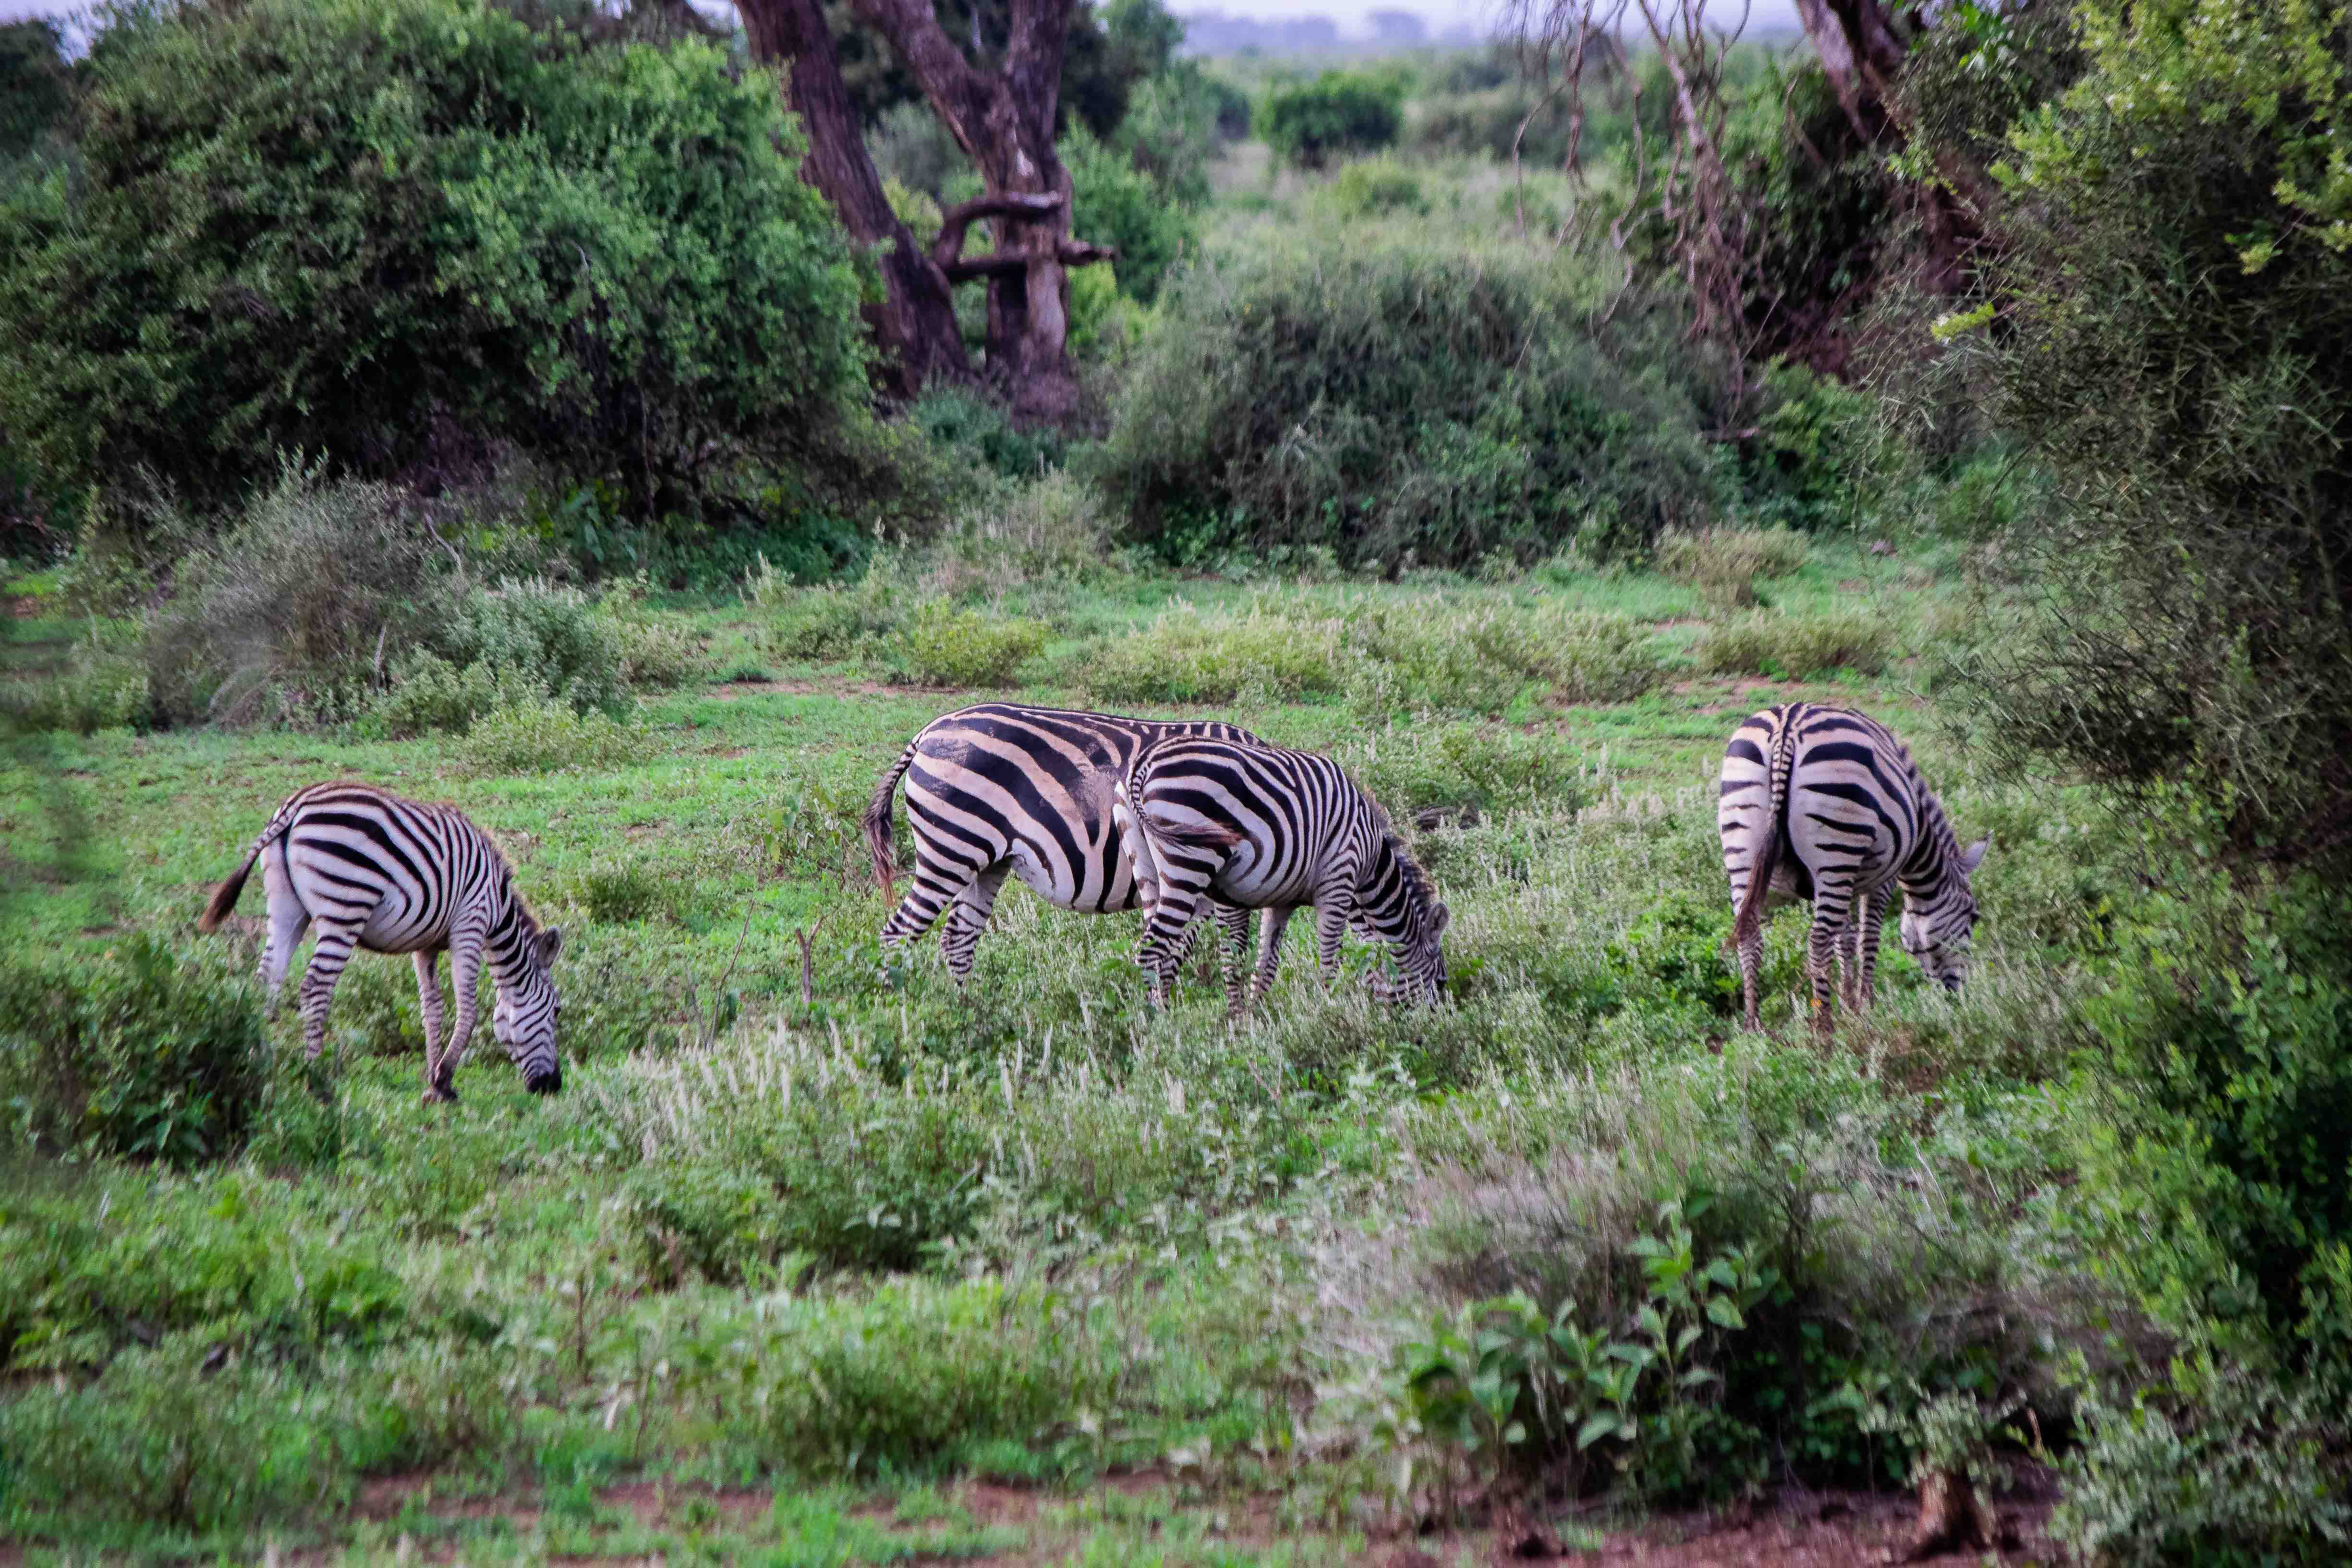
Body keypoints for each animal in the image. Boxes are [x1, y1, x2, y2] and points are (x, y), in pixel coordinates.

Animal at [193, 785, 559, 1105]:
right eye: (556, 1011)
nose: (553, 1086)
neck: (497, 906)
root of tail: (294, 808)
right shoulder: (470, 923)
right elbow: (467, 1007)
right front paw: (444, 1078)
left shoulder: (426, 943)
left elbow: (432, 1009)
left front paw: (434, 1085)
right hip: (345, 904)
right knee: (315, 987)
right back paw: (317, 1085)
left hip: (287, 908)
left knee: (267, 979)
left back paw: (261, 1067)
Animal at [861, 705, 1270, 987]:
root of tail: (930, 730)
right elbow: (1229, 951)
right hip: (950, 850)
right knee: (897, 935)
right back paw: (899, 1013)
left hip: (983, 861)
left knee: (957, 938)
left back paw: (968, 1013)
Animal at [1110, 729, 1439, 1010]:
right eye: (1439, 973)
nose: (1437, 1019)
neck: (1369, 858)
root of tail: (1144, 764)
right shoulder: (1338, 877)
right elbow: (1332, 957)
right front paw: (1328, 1013)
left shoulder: (1282, 900)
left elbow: (1265, 966)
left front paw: (1257, 1022)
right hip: (1189, 863)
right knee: (1151, 953)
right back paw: (1160, 1030)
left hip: (1147, 867)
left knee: (1164, 952)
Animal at [1722, 705, 1994, 1034]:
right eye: (1974, 917)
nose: (1960, 995)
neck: (1920, 843)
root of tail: (1787, 727)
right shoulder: (1881, 879)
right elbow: (1868, 936)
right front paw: (1866, 1006)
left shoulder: (1844, 881)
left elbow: (1846, 938)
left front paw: (1849, 1004)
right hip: (1837, 847)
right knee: (1818, 942)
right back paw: (1824, 1032)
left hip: (1742, 848)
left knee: (1750, 936)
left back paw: (1754, 1029)